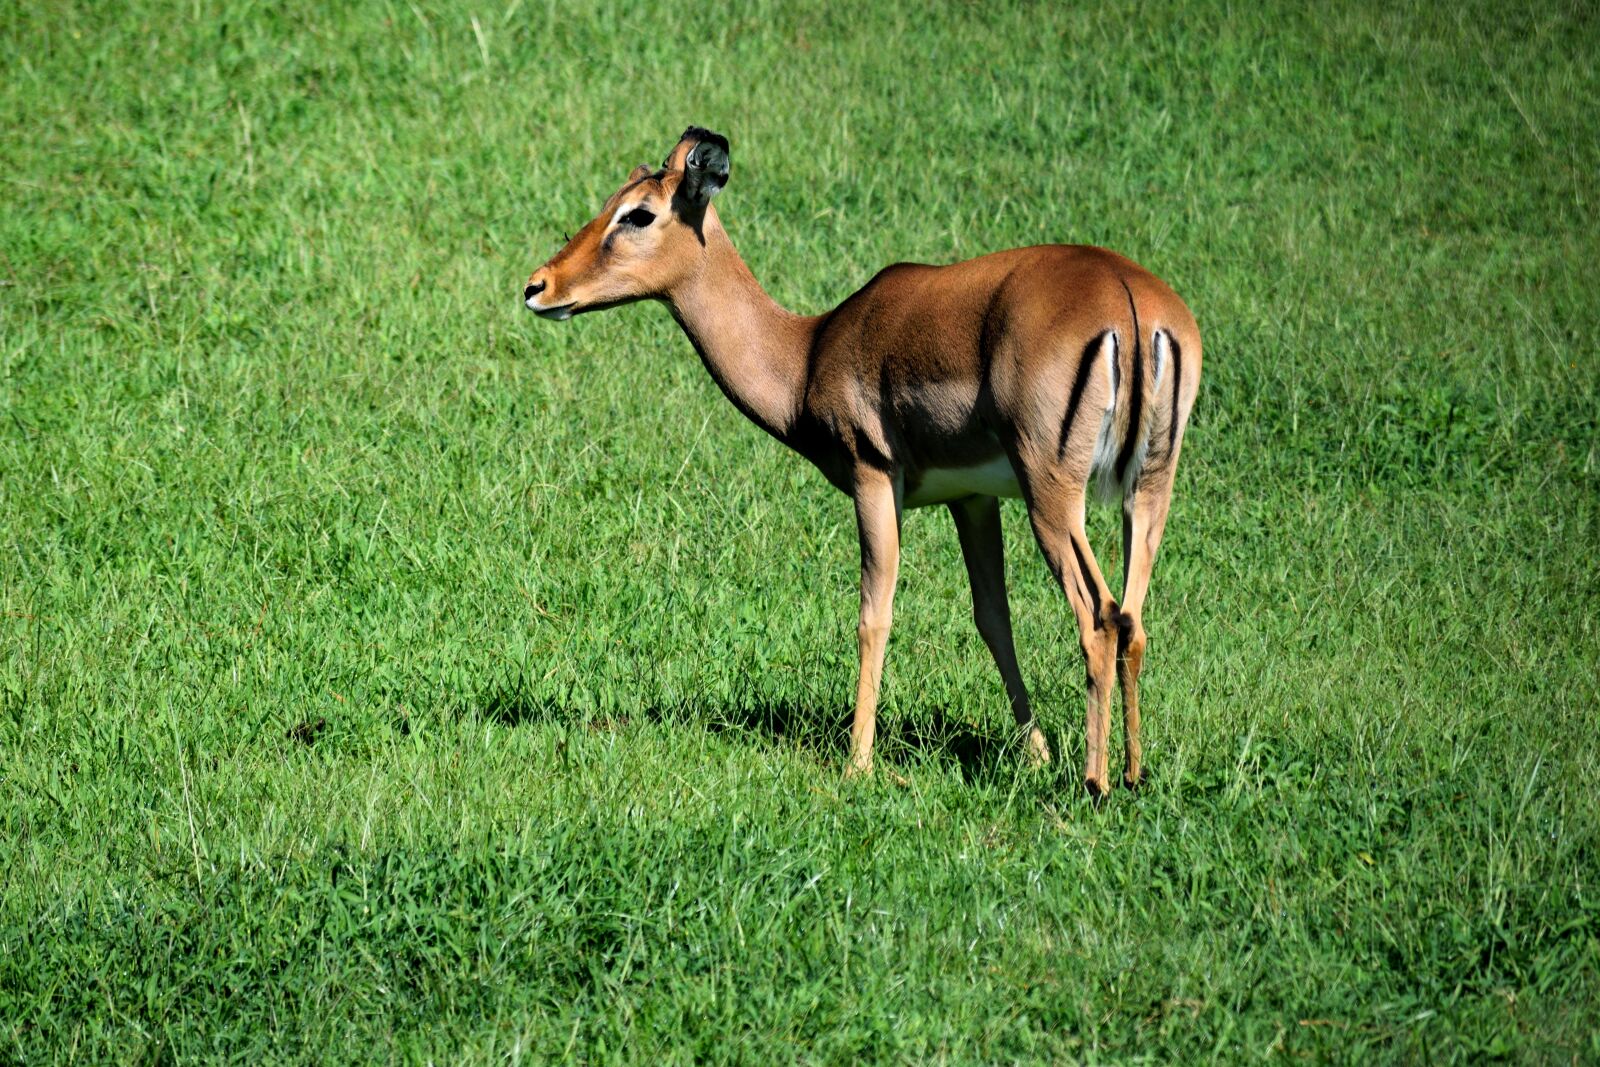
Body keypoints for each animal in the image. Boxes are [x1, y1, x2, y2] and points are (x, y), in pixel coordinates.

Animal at [522, 127, 1201, 796]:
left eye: (640, 213)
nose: (538, 286)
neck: (808, 352)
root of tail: (1129, 303)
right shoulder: (972, 497)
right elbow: (992, 616)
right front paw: (1034, 754)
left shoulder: (872, 475)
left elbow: (873, 615)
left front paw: (858, 765)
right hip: (1147, 491)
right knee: (1133, 618)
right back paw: (1133, 774)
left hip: (1052, 493)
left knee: (1101, 618)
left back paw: (1095, 782)